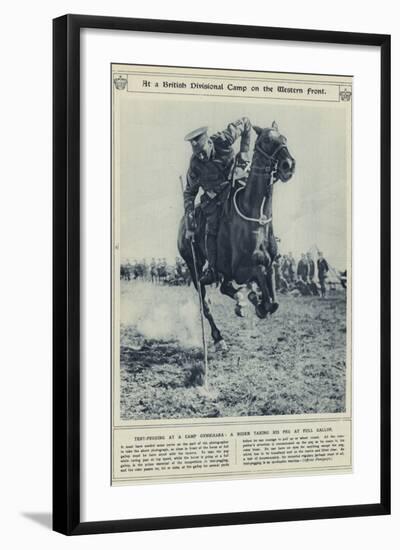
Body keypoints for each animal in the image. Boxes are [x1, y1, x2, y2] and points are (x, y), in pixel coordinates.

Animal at [177, 123, 296, 352]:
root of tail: (183, 223)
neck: (255, 216)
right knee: (206, 304)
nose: (289, 165)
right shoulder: (244, 269)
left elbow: (273, 302)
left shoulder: (270, 266)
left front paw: (254, 300)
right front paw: (254, 301)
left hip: (222, 270)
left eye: (284, 138)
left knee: (225, 287)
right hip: (194, 267)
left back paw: (242, 302)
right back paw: (218, 337)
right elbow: (262, 296)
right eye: (266, 140)